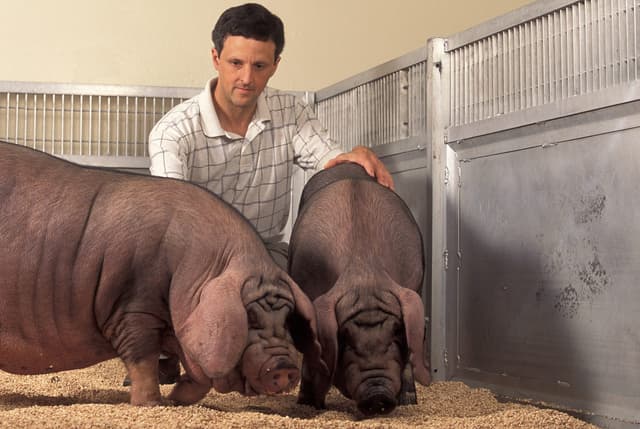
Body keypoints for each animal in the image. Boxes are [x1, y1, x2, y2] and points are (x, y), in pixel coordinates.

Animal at [0, 141, 327, 406]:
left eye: (287, 319)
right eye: (250, 318)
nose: (285, 366)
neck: (194, 270)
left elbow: (198, 376)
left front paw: (176, 401)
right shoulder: (132, 307)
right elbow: (143, 362)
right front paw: (151, 404)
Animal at [288, 162, 431, 416]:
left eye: (397, 332)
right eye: (344, 338)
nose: (378, 395)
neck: (364, 269)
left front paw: (409, 400)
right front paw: (309, 403)